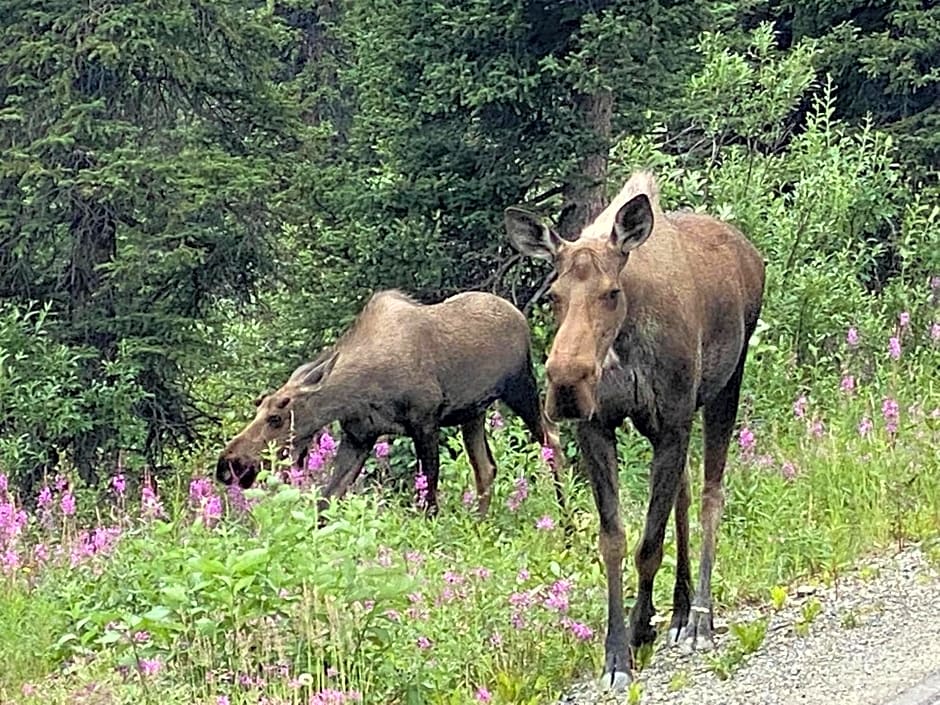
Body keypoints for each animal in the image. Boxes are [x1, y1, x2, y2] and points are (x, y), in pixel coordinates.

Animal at [217, 288, 560, 516]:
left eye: (276, 416)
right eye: (259, 406)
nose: (228, 466)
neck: (360, 390)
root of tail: (520, 315)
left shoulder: (425, 421)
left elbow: (428, 498)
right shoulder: (359, 436)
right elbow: (326, 501)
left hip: (521, 386)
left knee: (552, 440)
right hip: (472, 413)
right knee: (486, 469)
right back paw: (479, 523)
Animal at [506, 170, 764, 688]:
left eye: (611, 292)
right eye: (553, 297)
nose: (566, 383)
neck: (621, 347)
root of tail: (751, 255)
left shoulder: (672, 420)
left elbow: (649, 544)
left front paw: (640, 627)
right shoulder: (597, 426)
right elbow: (615, 540)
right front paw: (617, 651)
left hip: (725, 384)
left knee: (711, 493)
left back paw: (700, 617)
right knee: (684, 494)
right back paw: (681, 612)